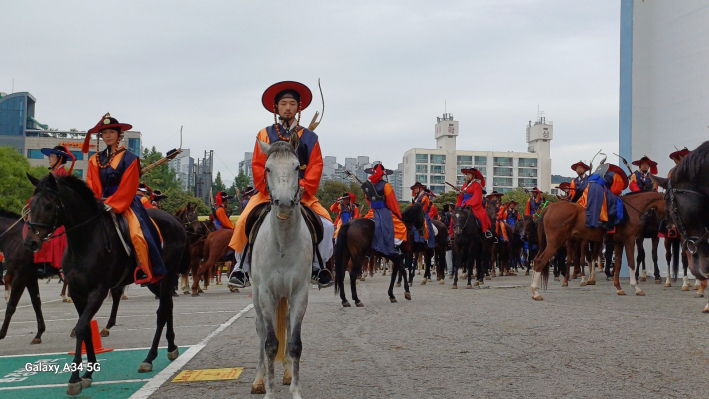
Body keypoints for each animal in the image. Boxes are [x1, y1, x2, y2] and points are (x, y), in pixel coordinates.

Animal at [0, 211, 124, 346]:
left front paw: (1, 334)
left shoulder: (20, 277)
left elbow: (11, 306)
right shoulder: (30, 278)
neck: (14, 238)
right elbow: (36, 303)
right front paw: (39, 333)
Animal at [23, 175, 187, 396]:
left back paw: (150, 357)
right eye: (31, 205)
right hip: (154, 281)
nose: (31, 242)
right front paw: (87, 373)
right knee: (167, 306)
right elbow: (84, 328)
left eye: (49, 205)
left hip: (167, 275)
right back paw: (170, 347)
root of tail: (175, 220)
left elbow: (81, 327)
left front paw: (74, 378)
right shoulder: (77, 293)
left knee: (162, 312)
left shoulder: (98, 291)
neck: (85, 241)